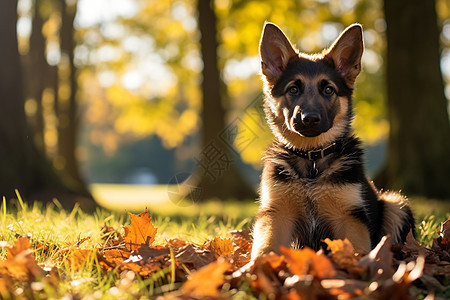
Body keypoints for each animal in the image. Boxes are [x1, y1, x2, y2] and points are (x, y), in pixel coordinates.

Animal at [251, 23, 414, 258]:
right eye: (293, 89)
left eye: (328, 90)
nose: (309, 119)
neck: (312, 160)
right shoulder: (276, 214)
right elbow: (265, 249)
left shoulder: (349, 216)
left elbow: (355, 251)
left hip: (396, 204)